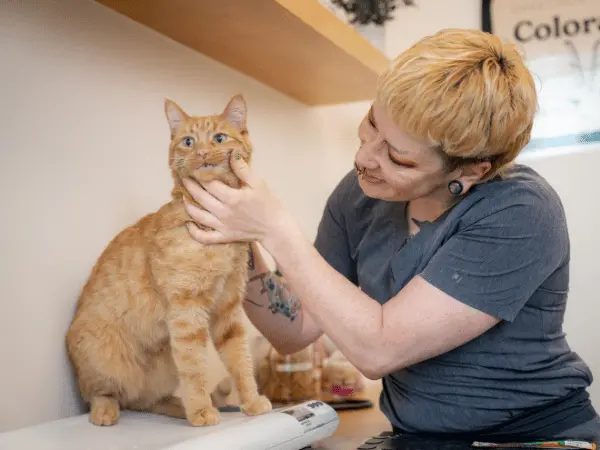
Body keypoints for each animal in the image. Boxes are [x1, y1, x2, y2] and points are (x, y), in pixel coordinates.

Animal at [65, 94, 272, 426]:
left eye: (218, 138)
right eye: (188, 141)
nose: (201, 152)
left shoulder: (227, 309)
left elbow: (240, 360)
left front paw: (251, 401)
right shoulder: (186, 311)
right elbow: (195, 368)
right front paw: (201, 411)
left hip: (162, 370)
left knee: (146, 401)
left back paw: (177, 407)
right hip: (103, 359)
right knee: (106, 394)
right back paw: (106, 411)